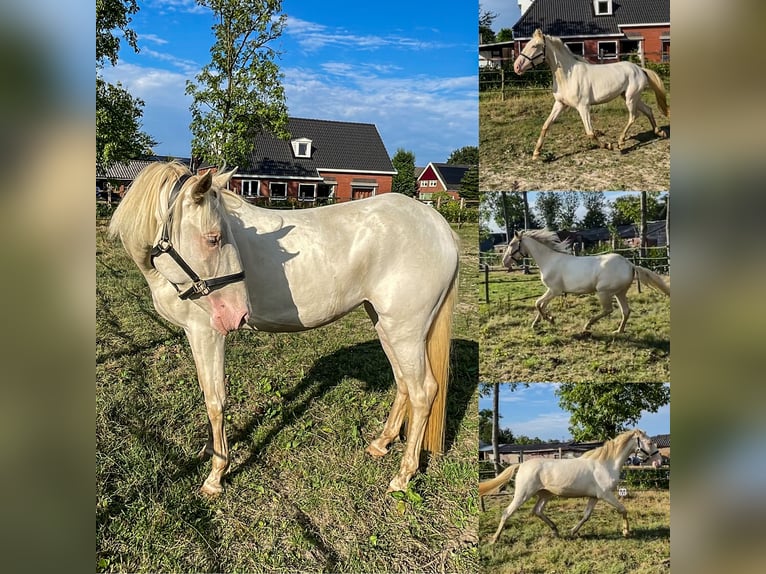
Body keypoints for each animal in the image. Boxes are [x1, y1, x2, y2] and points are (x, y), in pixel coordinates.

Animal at [105, 161, 460, 496]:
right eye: (214, 238)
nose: (237, 313)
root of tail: (438, 225)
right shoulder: (195, 335)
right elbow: (207, 394)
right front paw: (210, 450)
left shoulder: (207, 333)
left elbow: (216, 401)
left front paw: (216, 474)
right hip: (387, 325)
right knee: (403, 383)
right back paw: (381, 444)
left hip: (406, 330)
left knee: (423, 391)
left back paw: (402, 476)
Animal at [484, 430, 664, 548]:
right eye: (649, 443)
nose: (659, 462)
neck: (606, 464)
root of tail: (522, 464)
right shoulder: (606, 495)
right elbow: (623, 509)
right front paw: (626, 532)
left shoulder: (594, 497)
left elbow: (586, 516)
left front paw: (572, 531)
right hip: (524, 494)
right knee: (507, 512)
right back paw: (494, 539)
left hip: (545, 495)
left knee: (537, 511)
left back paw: (556, 531)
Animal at [508, 232, 676, 336]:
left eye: (512, 244)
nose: (505, 261)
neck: (549, 260)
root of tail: (630, 264)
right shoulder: (551, 291)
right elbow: (541, 305)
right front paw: (539, 322)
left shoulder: (554, 290)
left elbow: (538, 303)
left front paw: (550, 320)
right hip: (619, 292)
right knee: (626, 311)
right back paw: (618, 331)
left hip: (603, 291)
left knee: (608, 310)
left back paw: (587, 326)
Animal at [516, 29, 672, 159]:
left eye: (535, 46)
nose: (516, 66)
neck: (568, 76)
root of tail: (640, 69)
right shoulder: (560, 104)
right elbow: (546, 126)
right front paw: (536, 154)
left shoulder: (583, 107)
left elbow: (590, 133)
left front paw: (609, 146)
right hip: (631, 97)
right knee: (648, 110)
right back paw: (659, 132)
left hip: (631, 98)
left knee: (634, 116)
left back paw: (620, 142)